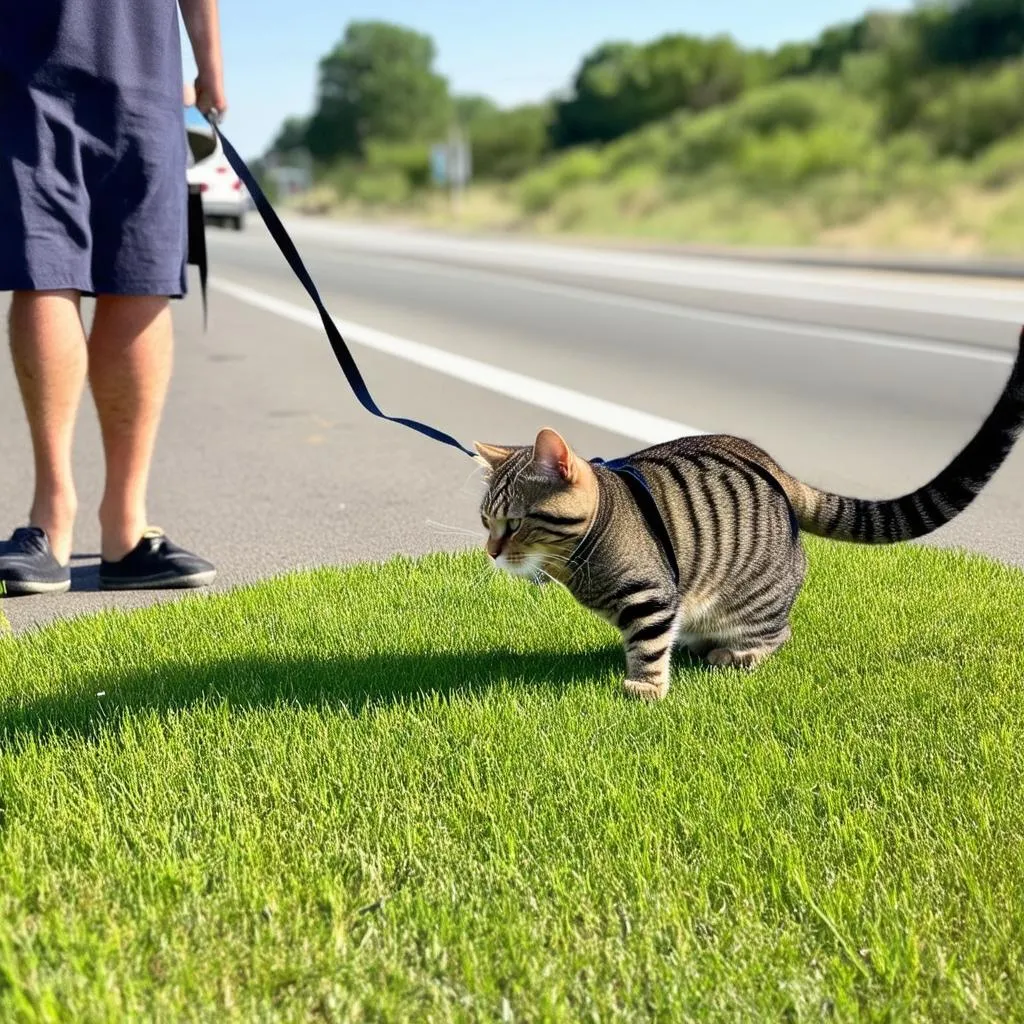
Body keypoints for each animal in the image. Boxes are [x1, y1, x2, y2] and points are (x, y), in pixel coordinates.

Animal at [473, 327, 1024, 696]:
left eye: (515, 522)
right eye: (486, 521)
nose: (491, 551)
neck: (576, 558)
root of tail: (771, 463)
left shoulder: (651, 596)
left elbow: (647, 645)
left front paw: (644, 688)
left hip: (751, 598)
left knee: (779, 631)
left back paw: (735, 654)